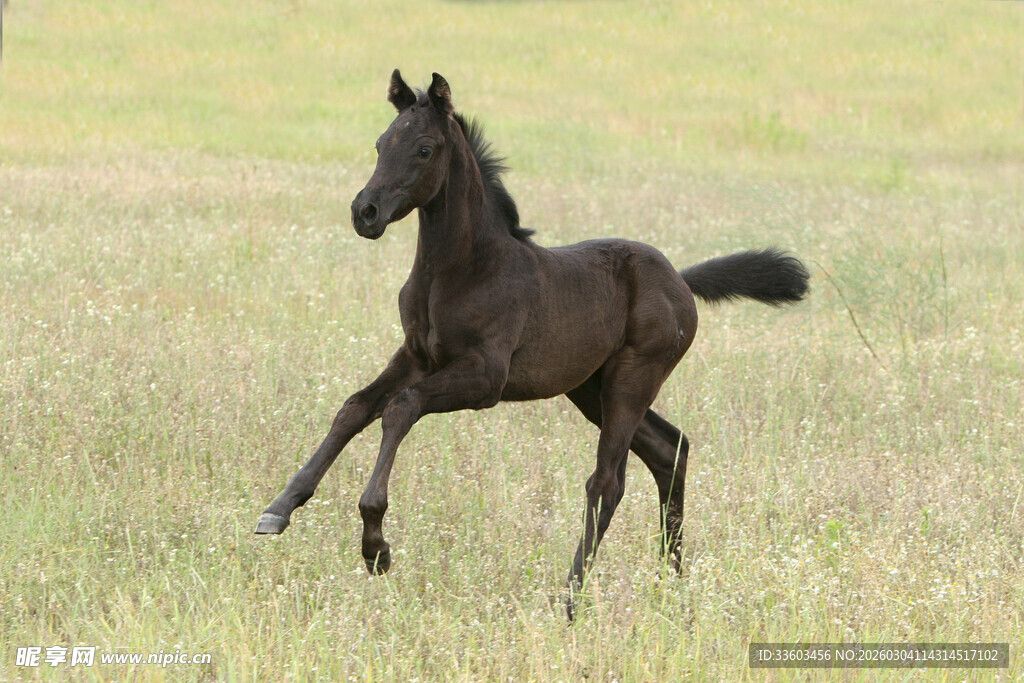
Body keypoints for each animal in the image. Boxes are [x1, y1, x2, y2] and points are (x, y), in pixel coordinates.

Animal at [256, 70, 810, 618]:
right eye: (379, 143)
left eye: (424, 150)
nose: (365, 212)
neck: (461, 269)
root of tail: (681, 279)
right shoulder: (415, 355)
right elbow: (354, 407)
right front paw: (278, 509)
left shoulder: (484, 376)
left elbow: (400, 407)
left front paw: (375, 546)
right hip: (590, 386)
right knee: (668, 450)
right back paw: (671, 584)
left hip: (634, 377)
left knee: (607, 481)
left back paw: (571, 597)